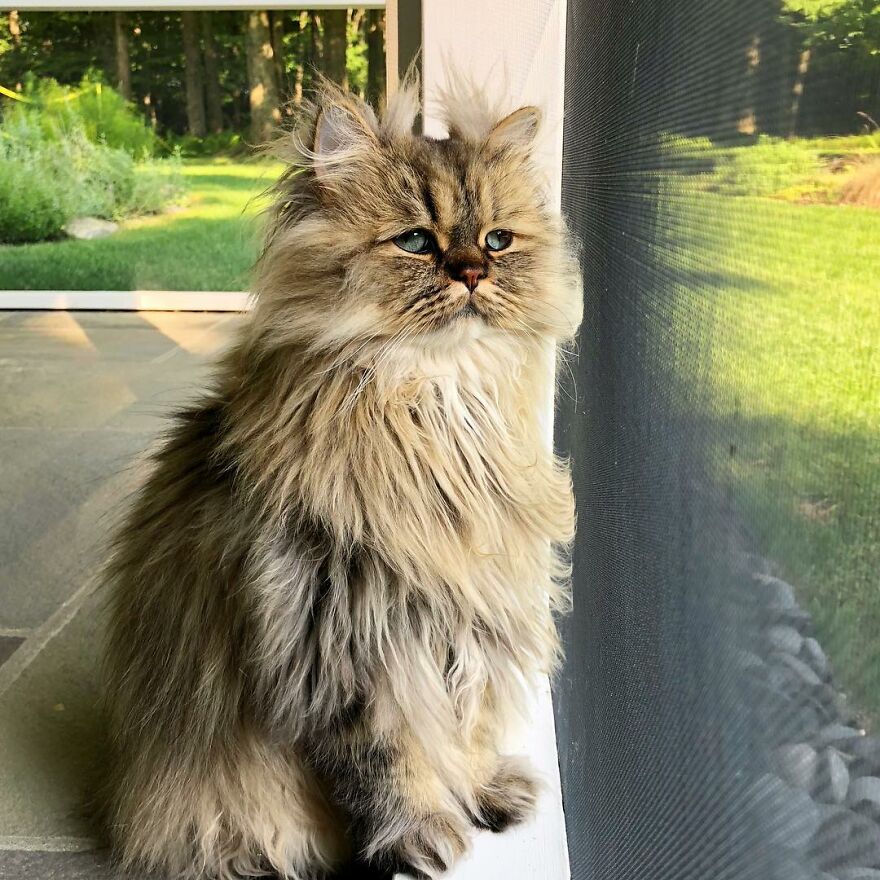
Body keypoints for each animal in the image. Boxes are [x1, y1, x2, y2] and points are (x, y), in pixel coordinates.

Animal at [103, 79, 580, 876]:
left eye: (497, 241)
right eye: (415, 241)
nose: (472, 272)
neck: (437, 415)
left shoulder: (468, 619)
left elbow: (468, 728)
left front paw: (482, 791)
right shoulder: (340, 641)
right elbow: (389, 763)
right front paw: (424, 838)